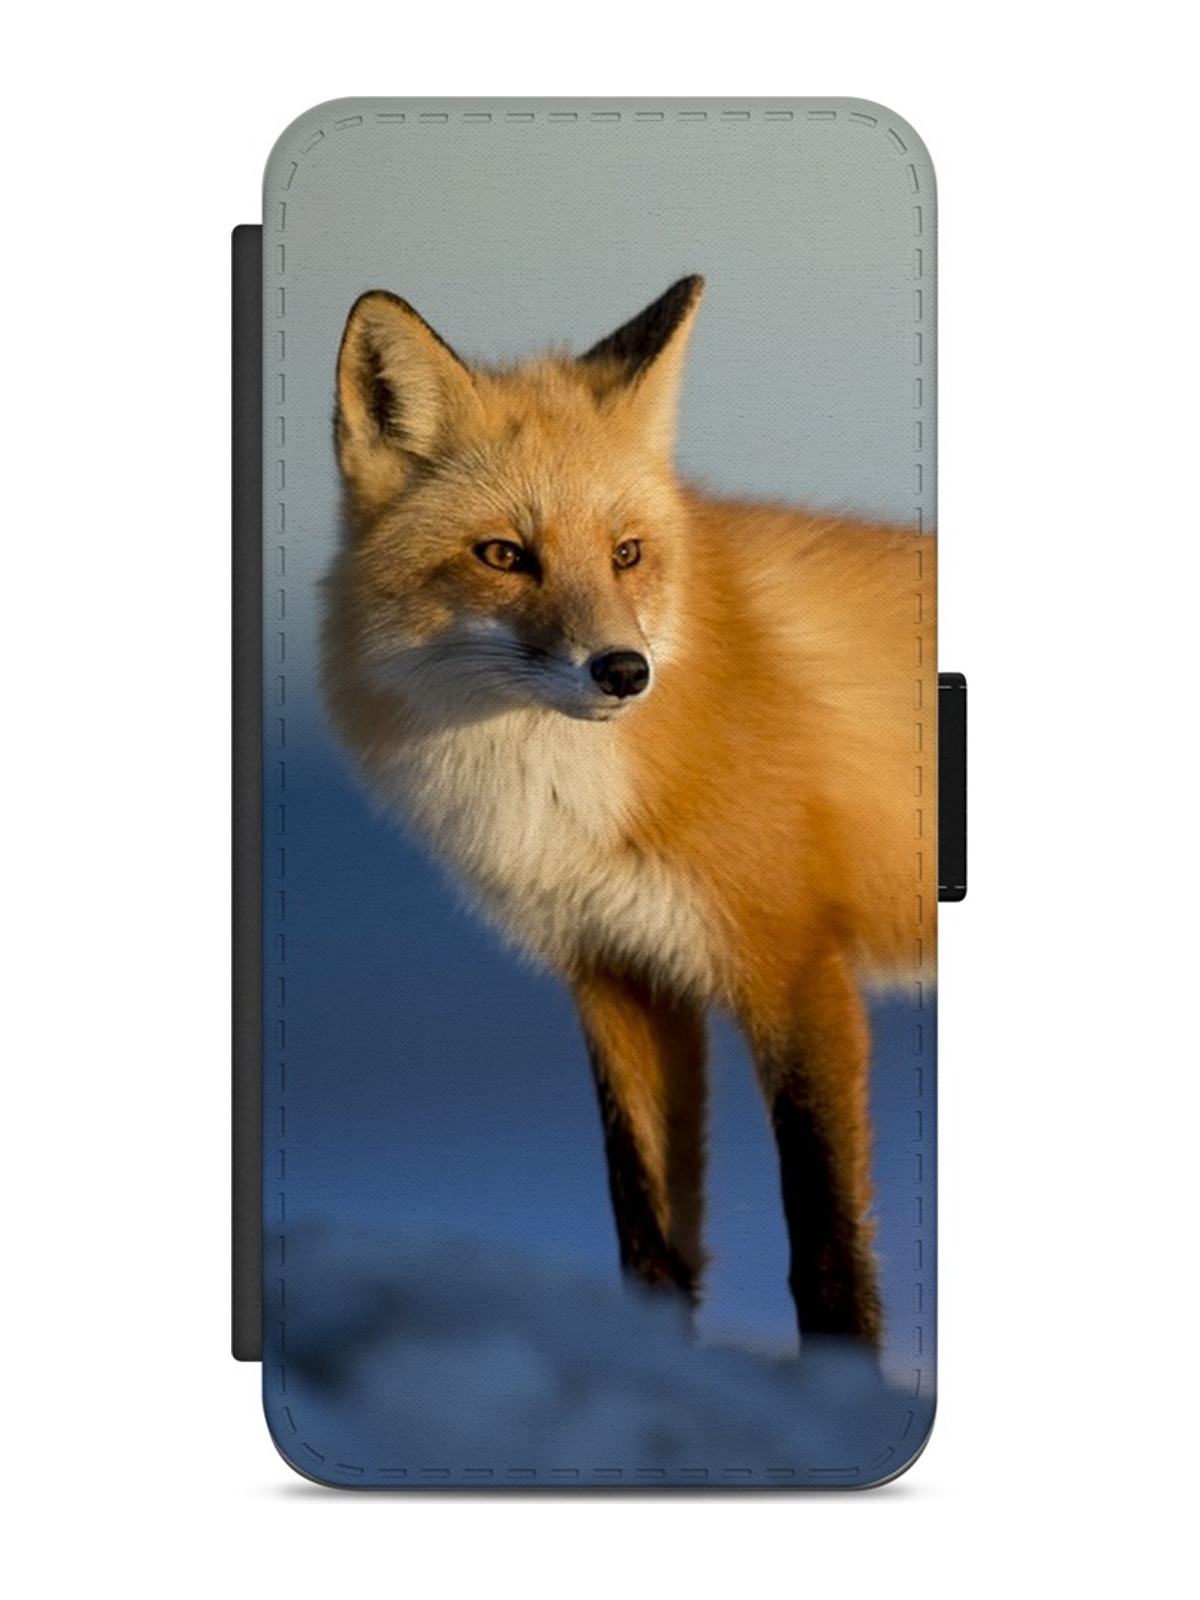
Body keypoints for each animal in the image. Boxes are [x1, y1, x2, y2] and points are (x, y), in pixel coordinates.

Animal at [323, 276, 935, 1347]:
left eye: (627, 554)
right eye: (503, 555)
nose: (623, 671)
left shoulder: (796, 964)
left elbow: (824, 1242)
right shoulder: (620, 973)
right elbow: (647, 1230)